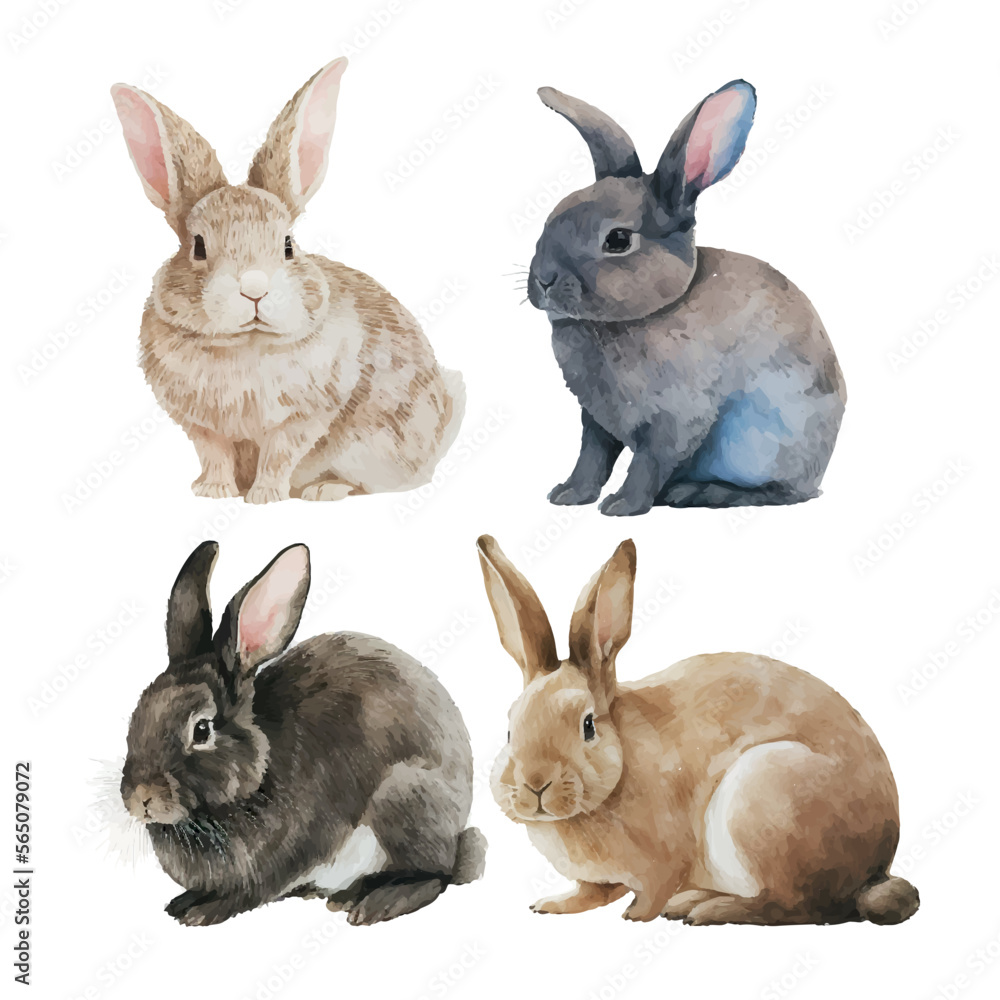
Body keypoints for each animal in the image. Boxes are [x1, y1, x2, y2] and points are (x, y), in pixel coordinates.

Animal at [111, 59, 465, 504]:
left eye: (288, 245)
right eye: (198, 247)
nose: (254, 289)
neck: (245, 343)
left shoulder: (303, 417)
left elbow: (279, 454)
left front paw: (264, 496)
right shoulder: (202, 427)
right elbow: (215, 454)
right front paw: (214, 491)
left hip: (375, 446)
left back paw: (325, 489)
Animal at [120, 540, 486, 926]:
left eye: (201, 729)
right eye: (136, 714)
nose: (138, 797)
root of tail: (460, 833)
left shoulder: (279, 860)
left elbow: (248, 893)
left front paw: (201, 912)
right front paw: (182, 902)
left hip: (404, 798)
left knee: (434, 875)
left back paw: (375, 901)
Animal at [475, 534, 918, 925]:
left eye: (587, 726)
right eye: (510, 729)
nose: (535, 784)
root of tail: (874, 869)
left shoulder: (664, 860)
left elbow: (651, 892)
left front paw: (635, 915)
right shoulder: (598, 878)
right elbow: (592, 891)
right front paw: (551, 905)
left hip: (762, 799)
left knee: (792, 906)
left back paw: (702, 909)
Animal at [527, 81, 846, 515]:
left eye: (618, 240)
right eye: (550, 218)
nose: (543, 281)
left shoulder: (675, 419)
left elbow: (647, 463)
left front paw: (621, 506)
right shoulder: (595, 421)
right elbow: (591, 458)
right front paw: (567, 495)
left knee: (783, 493)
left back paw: (698, 493)